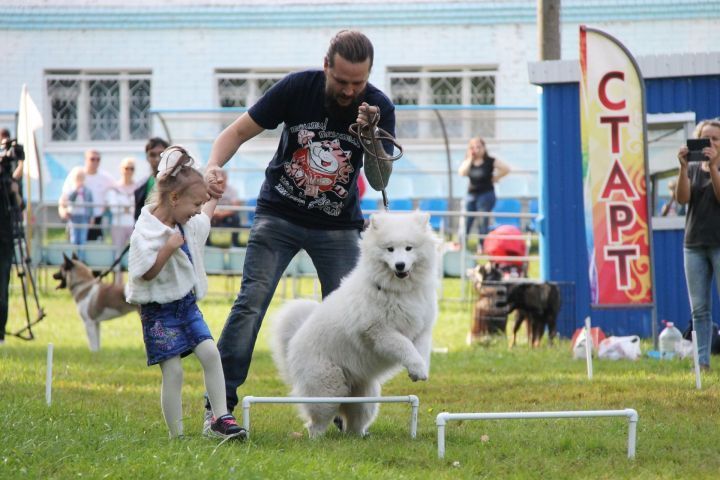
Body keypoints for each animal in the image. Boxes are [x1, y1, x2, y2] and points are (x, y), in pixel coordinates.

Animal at [270, 212, 438, 436]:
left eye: (409, 248)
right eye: (390, 249)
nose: (400, 265)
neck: (398, 290)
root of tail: (293, 342)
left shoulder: (422, 328)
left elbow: (419, 349)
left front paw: (419, 369)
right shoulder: (379, 331)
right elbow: (404, 345)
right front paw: (417, 369)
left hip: (366, 397)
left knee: (354, 423)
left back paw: (360, 437)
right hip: (328, 390)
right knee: (316, 423)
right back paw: (317, 439)